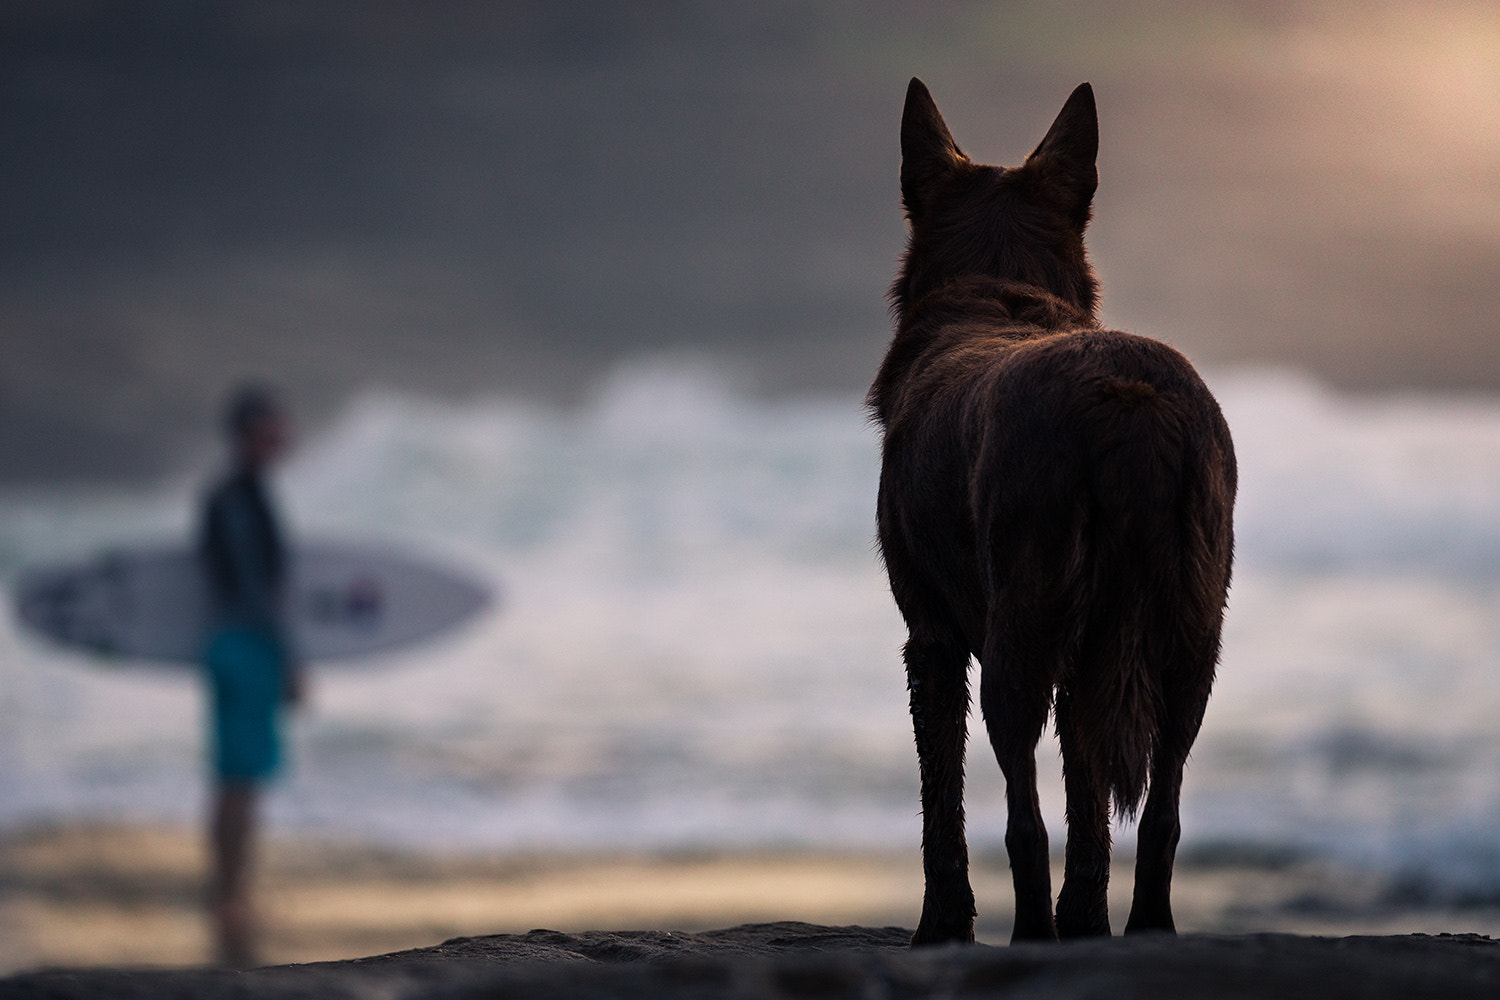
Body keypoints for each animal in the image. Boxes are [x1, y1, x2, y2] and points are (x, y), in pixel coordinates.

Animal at [869, 79, 1236, 944]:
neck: (999, 294)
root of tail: (1127, 401)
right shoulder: (1091, 657)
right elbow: (1091, 808)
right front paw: (1087, 921)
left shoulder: (930, 642)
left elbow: (945, 809)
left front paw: (942, 929)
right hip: (1191, 641)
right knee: (1163, 807)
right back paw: (1141, 931)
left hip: (1019, 640)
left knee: (1022, 819)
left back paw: (1033, 933)